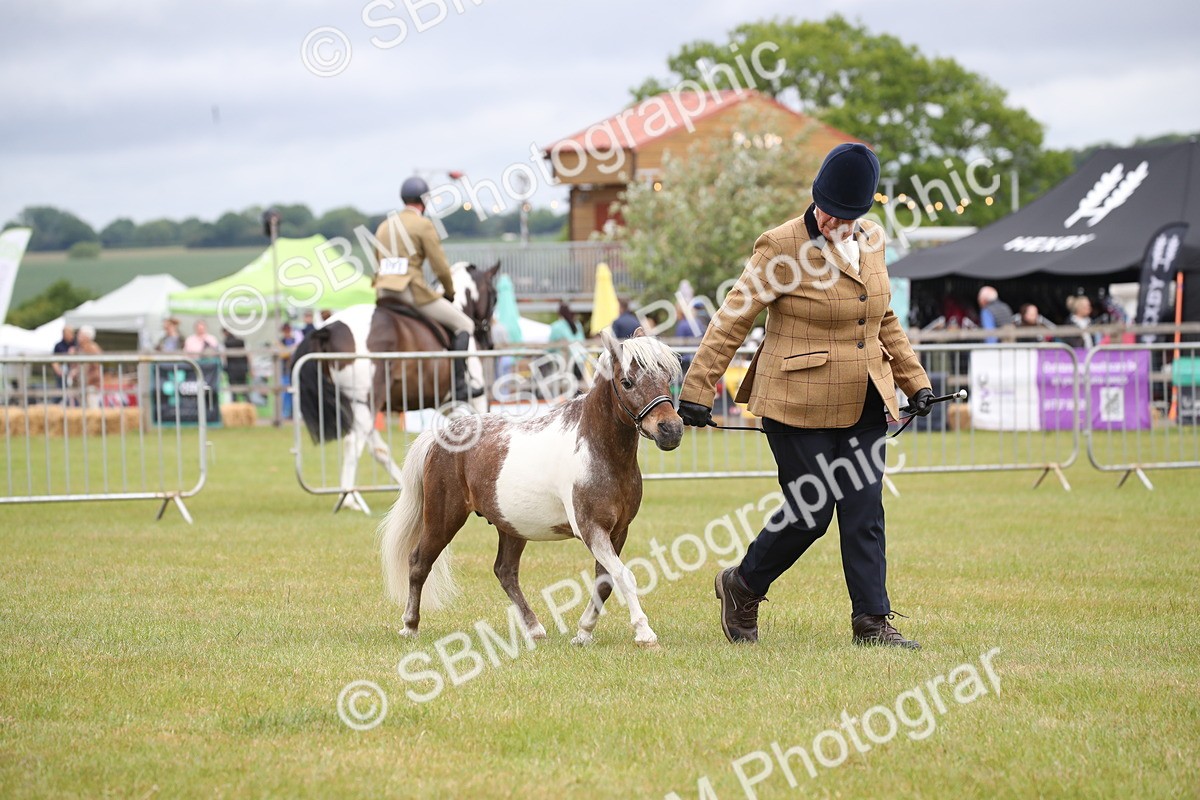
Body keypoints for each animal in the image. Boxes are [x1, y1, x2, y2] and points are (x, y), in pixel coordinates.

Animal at [293, 261, 500, 513]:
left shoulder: (446, 403)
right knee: (355, 443)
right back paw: (349, 498)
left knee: (376, 449)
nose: (489, 343)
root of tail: (328, 329)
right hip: (368, 401)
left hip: (355, 404)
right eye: (495, 296)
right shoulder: (473, 397)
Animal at [379, 328, 684, 648]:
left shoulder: (618, 531)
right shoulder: (592, 530)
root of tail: (442, 435)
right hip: (443, 519)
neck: (599, 452)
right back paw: (410, 626)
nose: (671, 430)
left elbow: (605, 581)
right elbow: (625, 576)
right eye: (627, 382)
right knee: (418, 563)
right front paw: (644, 632)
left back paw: (534, 628)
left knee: (505, 571)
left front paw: (583, 632)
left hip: (511, 528)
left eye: (667, 377)